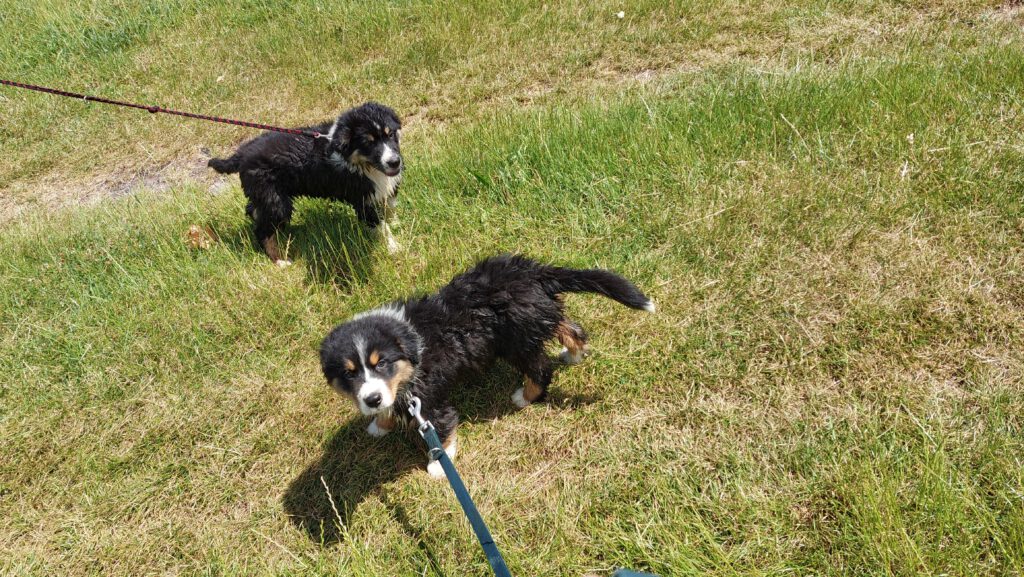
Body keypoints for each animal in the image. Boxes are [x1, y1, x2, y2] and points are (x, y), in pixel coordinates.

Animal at [208, 102, 403, 265]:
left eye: (391, 134)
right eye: (368, 143)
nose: (395, 162)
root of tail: (241, 155)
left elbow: (391, 205)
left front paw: (395, 223)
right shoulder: (363, 200)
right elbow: (380, 226)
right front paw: (394, 248)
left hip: (264, 195)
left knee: (254, 211)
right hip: (276, 201)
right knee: (263, 232)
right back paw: (280, 261)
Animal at [319, 254, 655, 478]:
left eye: (382, 364)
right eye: (349, 373)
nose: (372, 399)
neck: (411, 347)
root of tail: (534, 273)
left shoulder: (430, 399)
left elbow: (441, 429)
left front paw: (438, 465)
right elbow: (392, 407)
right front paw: (380, 424)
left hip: (517, 341)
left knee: (541, 368)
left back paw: (525, 397)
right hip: (534, 320)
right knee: (567, 326)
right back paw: (574, 353)